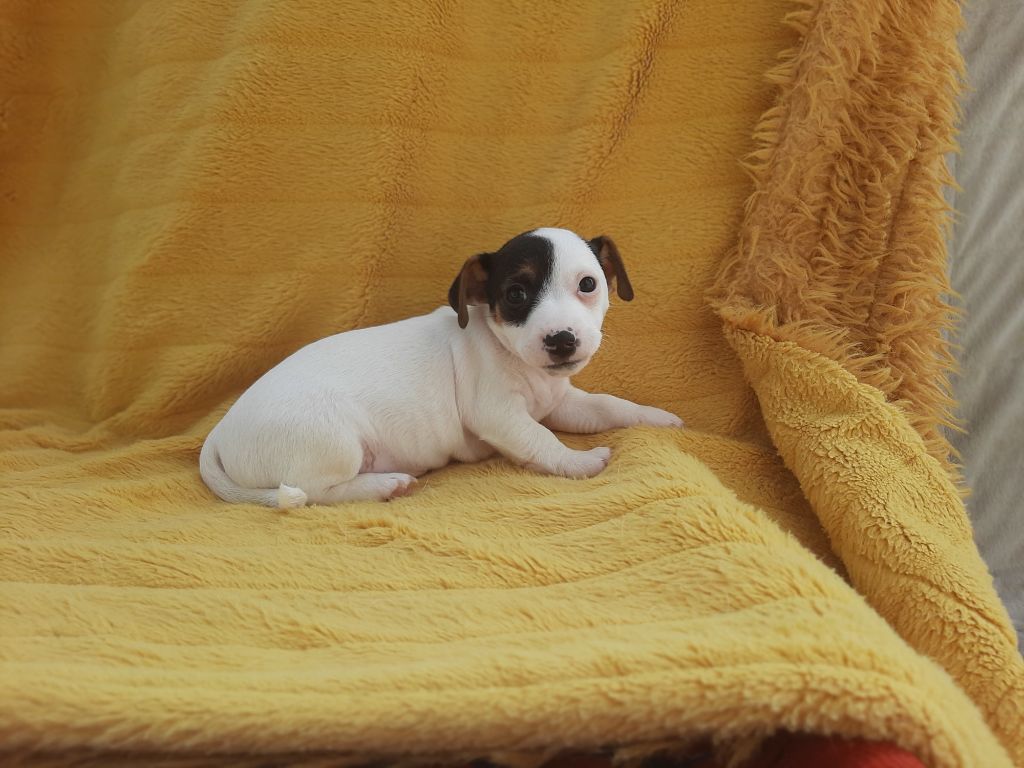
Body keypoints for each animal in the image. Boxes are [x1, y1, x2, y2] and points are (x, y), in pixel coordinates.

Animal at [199, 227, 684, 508]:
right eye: (515, 294)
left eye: (588, 284)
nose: (561, 340)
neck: (512, 357)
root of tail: (217, 436)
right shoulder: (499, 415)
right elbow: (541, 440)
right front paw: (578, 462)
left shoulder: (560, 402)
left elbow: (610, 405)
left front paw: (657, 418)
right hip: (332, 442)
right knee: (314, 493)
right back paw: (385, 485)